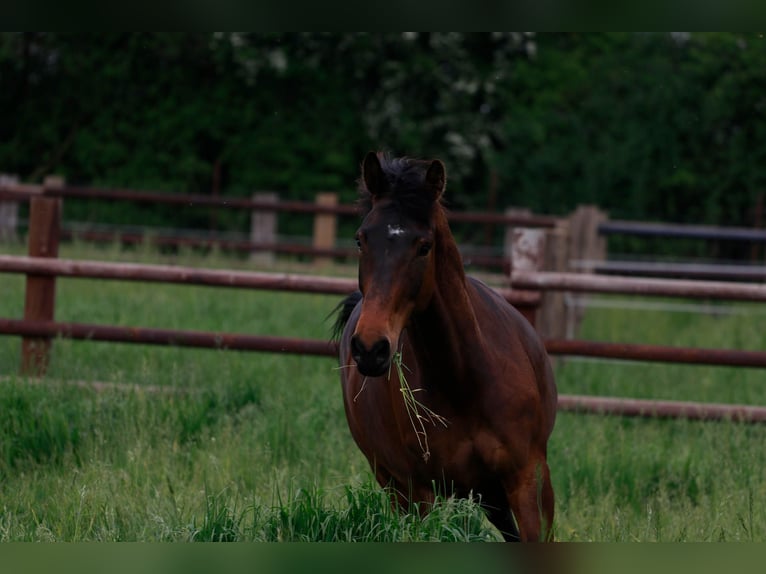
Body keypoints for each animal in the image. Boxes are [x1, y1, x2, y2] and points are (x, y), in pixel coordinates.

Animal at [334, 151, 560, 544]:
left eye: (424, 246)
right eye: (361, 240)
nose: (370, 347)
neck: (464, 380)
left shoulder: (528, 478)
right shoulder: (421, 491)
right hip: (402, 486)